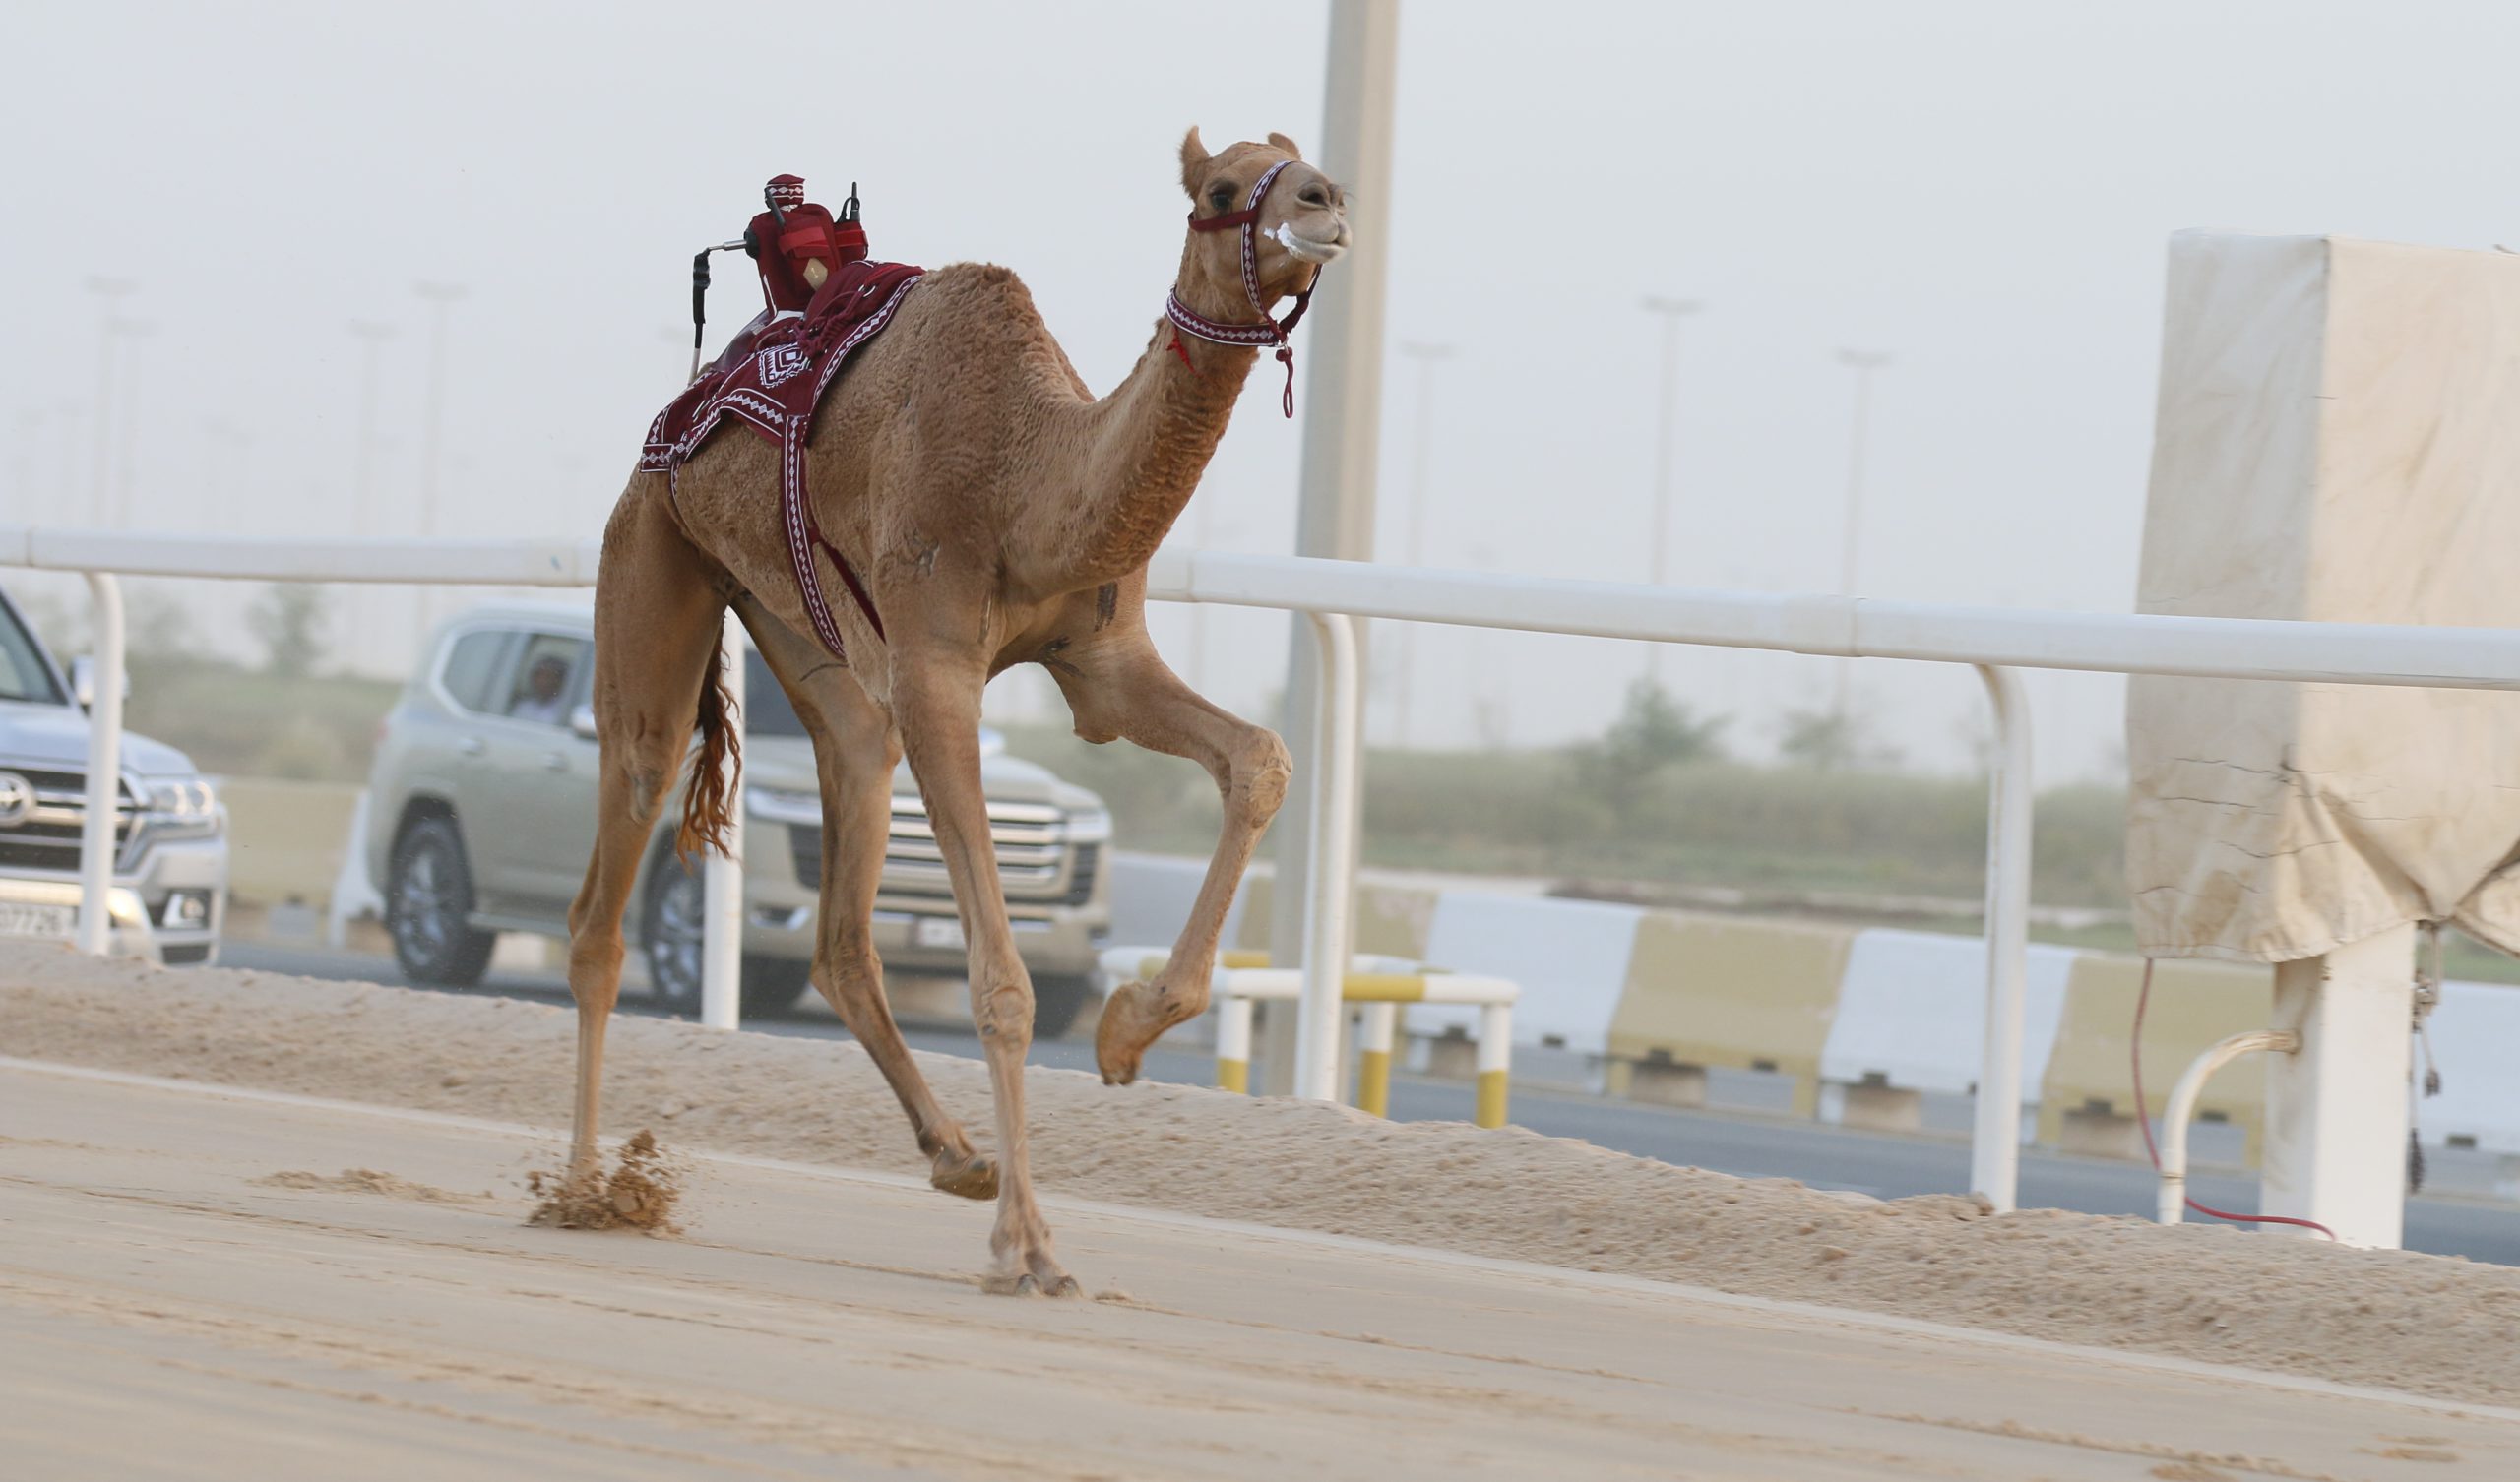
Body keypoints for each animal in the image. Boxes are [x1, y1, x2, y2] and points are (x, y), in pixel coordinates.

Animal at [567, 130, 1360, 1300]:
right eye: (1223, 185)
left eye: (1306, 163)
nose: (1325, 203)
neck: (1026, 478)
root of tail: (673, 420)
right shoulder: (936, 670)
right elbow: (1004, 983)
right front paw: (1031, 1251)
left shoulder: (1101, 661)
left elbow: (1260, 757)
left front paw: (1126, 1034)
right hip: (653, 554)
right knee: (615, 862)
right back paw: (585, 1189)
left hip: (810, 642)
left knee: (843, 913)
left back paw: (957, 1157)